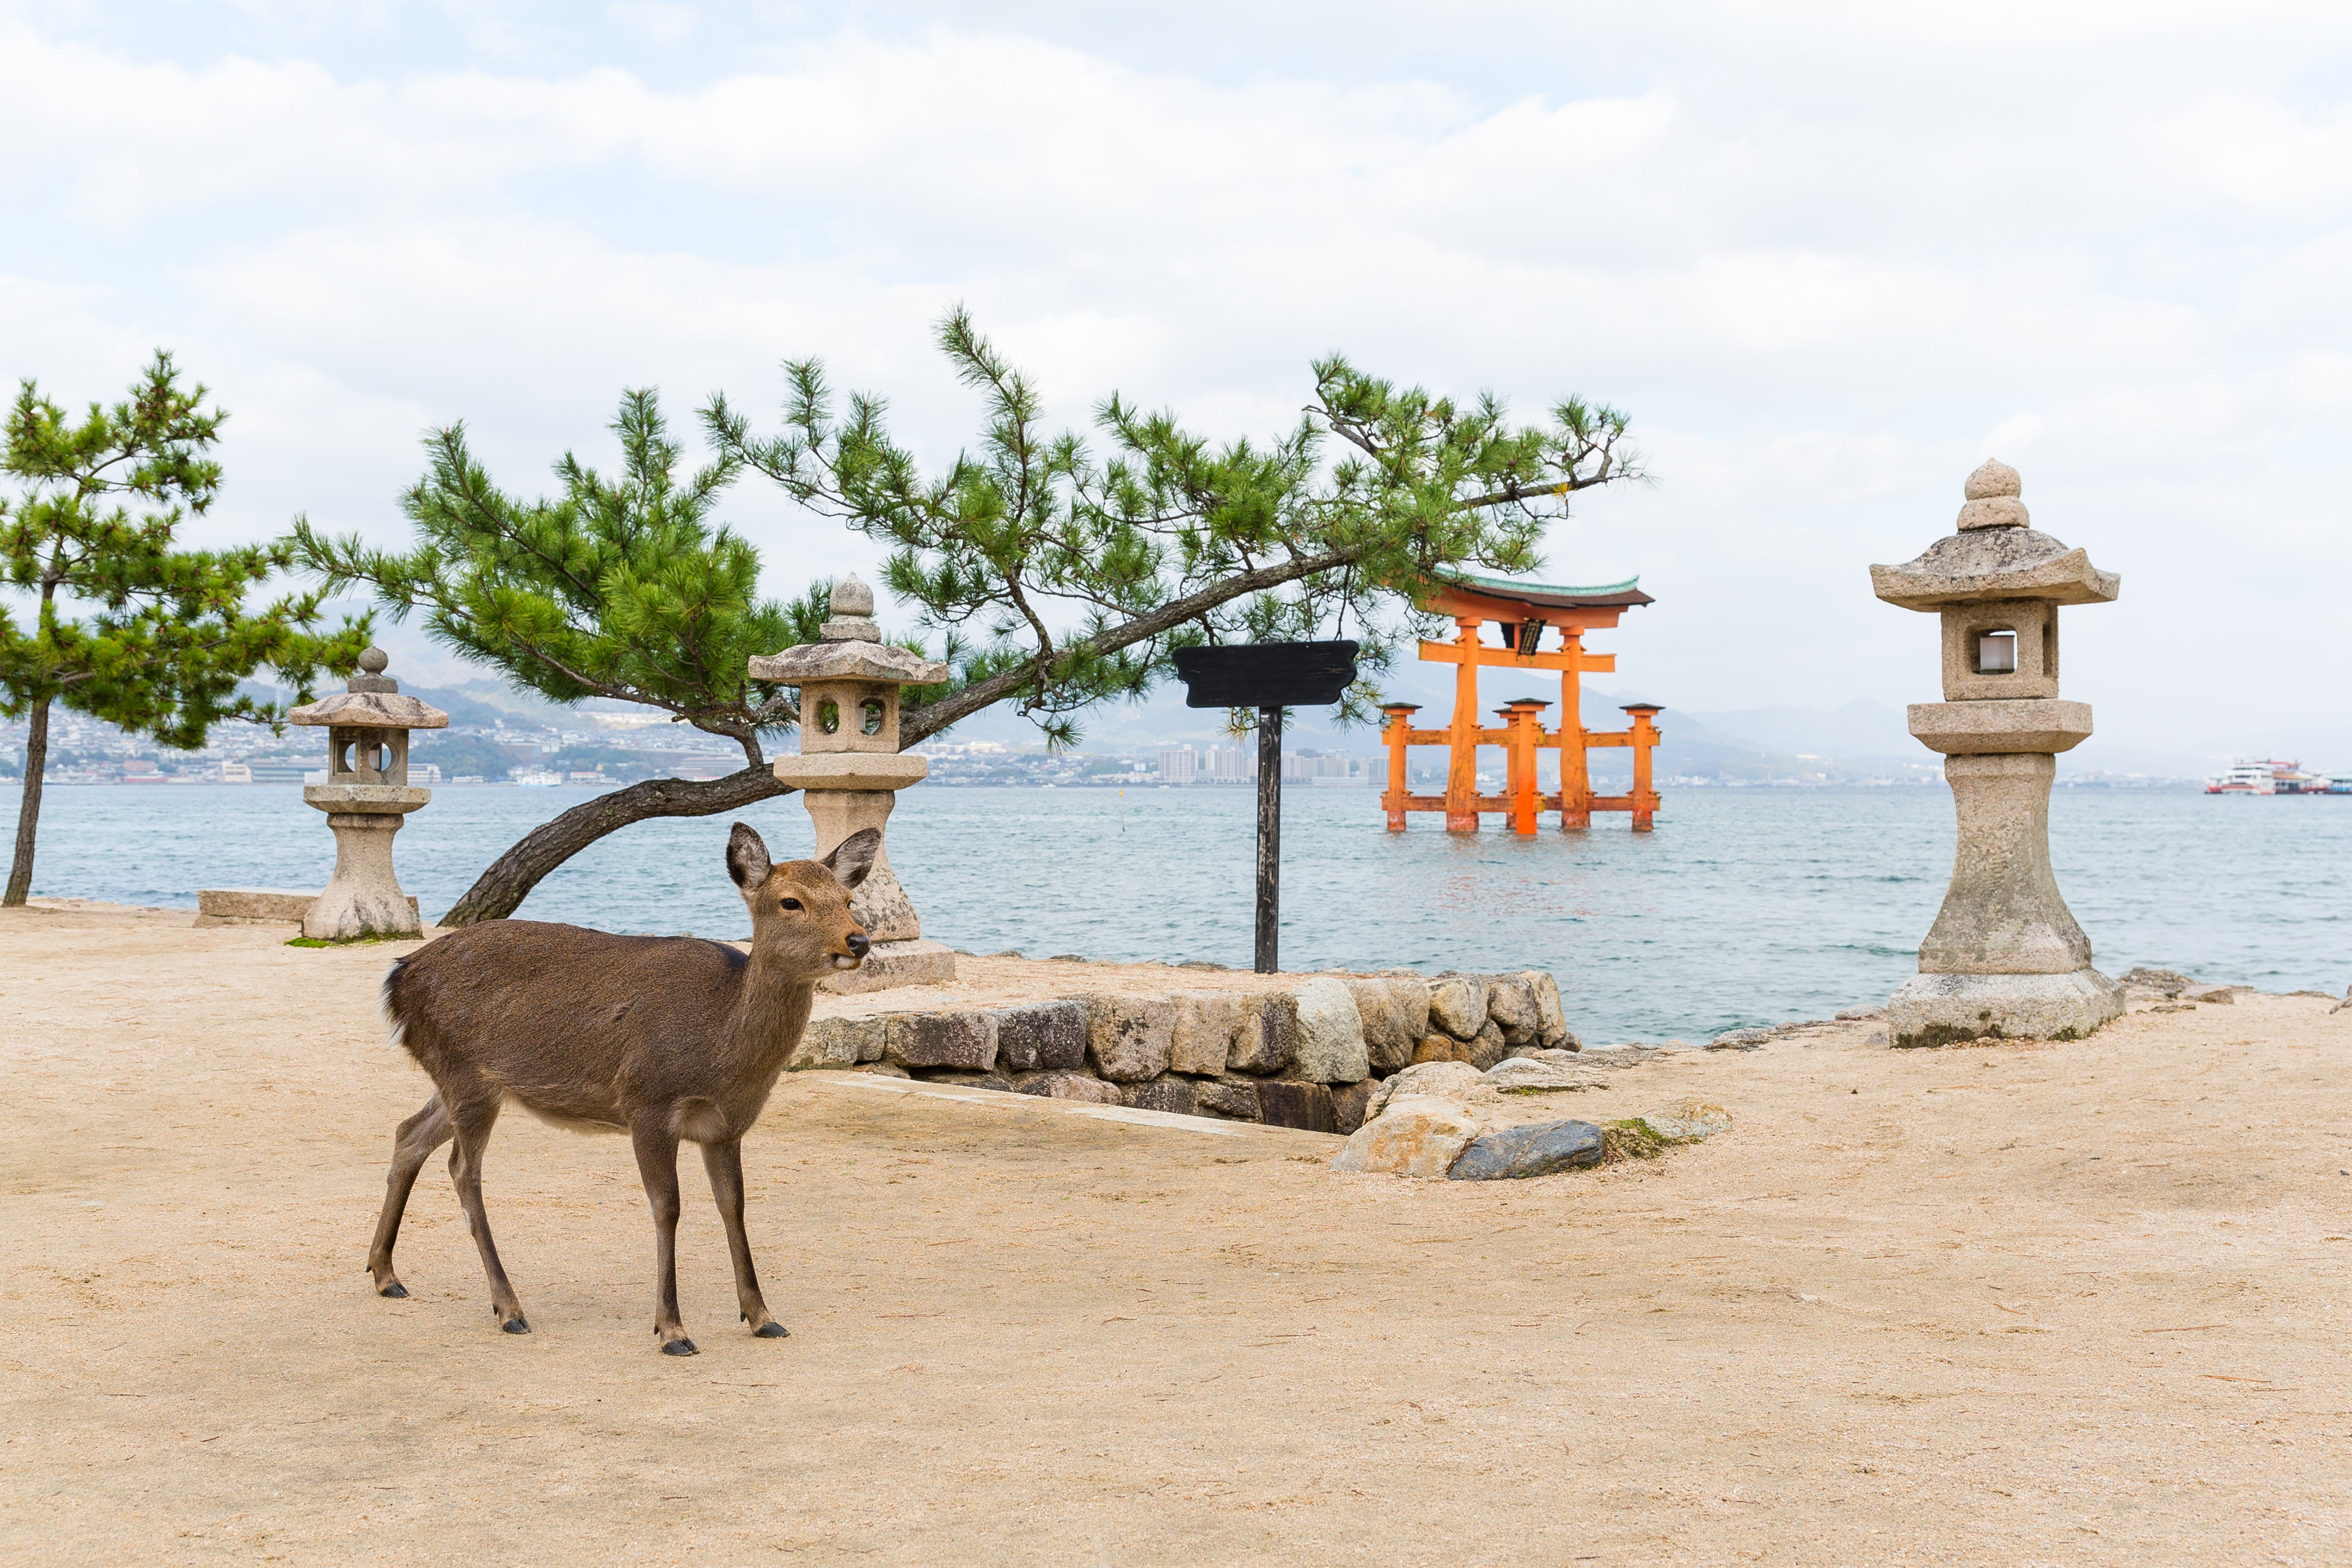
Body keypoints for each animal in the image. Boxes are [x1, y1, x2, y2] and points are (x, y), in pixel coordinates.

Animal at [362, 823, 880, 1354]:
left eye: (848, 899)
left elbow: (733, 1205)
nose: (858, 940)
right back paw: (509, 1308)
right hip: (466, 1073)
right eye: (790, 901)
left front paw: (762, 1316)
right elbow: (667, 1207)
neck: (721, 1050)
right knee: (464, 1171)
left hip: (464, 1078)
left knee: (409, 1133)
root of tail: (397, 978)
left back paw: (386, 1274)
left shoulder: (725, 1126)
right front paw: (672, 1330)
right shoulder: (647, 1102)